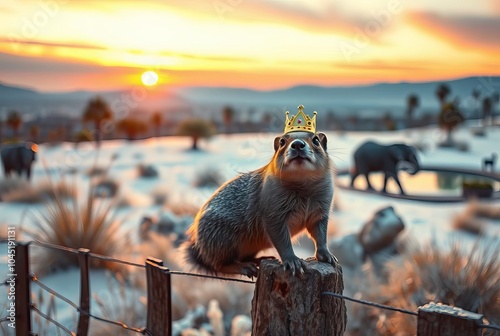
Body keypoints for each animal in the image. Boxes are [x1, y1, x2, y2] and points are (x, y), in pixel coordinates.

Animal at [182, 109, 338, 276]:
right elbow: (281, 239)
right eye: (282, 142)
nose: (297, 144)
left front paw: (327, 255)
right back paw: (243, 267)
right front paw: (292, 261)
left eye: (316, 140)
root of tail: (198, 249)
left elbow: (320, 234)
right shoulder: (272, 211)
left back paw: (259, 259)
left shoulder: (320, 212)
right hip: (222, 239)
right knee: (220, 265)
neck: (304, 186)